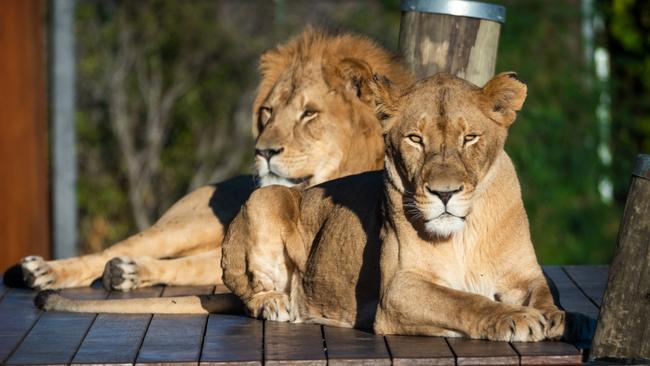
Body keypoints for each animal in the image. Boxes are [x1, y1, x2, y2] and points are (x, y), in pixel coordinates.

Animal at [8, 26, 410, 292]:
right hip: (184, 226)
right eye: (268, 112)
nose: (263, 151)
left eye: (309, 114)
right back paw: (46, 271)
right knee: (121, 248)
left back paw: (124, 273)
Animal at [36, 72, 560, 344]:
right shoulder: (398, 292)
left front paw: (550, 317)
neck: (465, 231)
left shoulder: (525, 275)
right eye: (415, 139)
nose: (445, 193)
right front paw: (512, 320)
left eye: (470, 138)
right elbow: (462, 300)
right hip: (265, 196)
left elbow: (543, 295)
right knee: (249, 291)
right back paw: (279, 304)